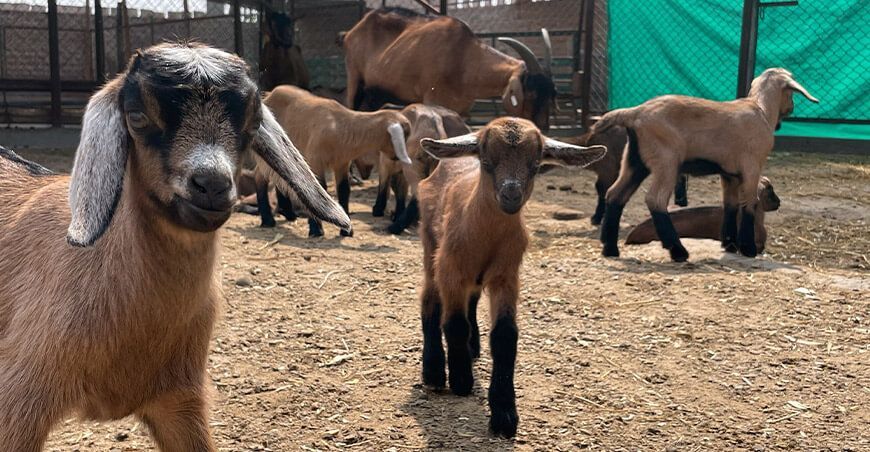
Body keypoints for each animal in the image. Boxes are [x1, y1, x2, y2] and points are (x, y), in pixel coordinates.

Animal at [258, 85, 413, 236]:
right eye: (404, 135)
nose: (398, 158)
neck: (339, 125)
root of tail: (270, 94)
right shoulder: (315, 161)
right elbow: (319, 188)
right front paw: (316, 229)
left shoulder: (341, 164)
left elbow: (344, 190)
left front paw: (347, 231)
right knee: (259, 177)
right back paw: (268, 219)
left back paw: (288, 214)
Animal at [343, 7, 557, 130]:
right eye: (531, 93)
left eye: (551, 95)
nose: (543, 128)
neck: (464, 56)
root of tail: (352, 32)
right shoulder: (433, 100)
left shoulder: (460, 110)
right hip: (355, 79)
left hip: (376, 94)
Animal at [372, 104, 471, 234]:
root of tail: (435, 129)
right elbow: (400, 190)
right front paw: (396, 214)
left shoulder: (386, 162)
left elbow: (384, 183)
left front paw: (378, 211)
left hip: (413, 163)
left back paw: (395, 227)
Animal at [417, 117, 606, 437]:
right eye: (486, 161)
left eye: (536, 164)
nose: (511, 195)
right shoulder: (451, 270)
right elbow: (453, 323)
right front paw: (461, 380)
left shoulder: (506, 275)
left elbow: (505, 336)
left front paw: (505, 415)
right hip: (431, 248)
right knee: (430, 302)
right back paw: (433, 371)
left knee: (471, 300)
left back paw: (472, 348)